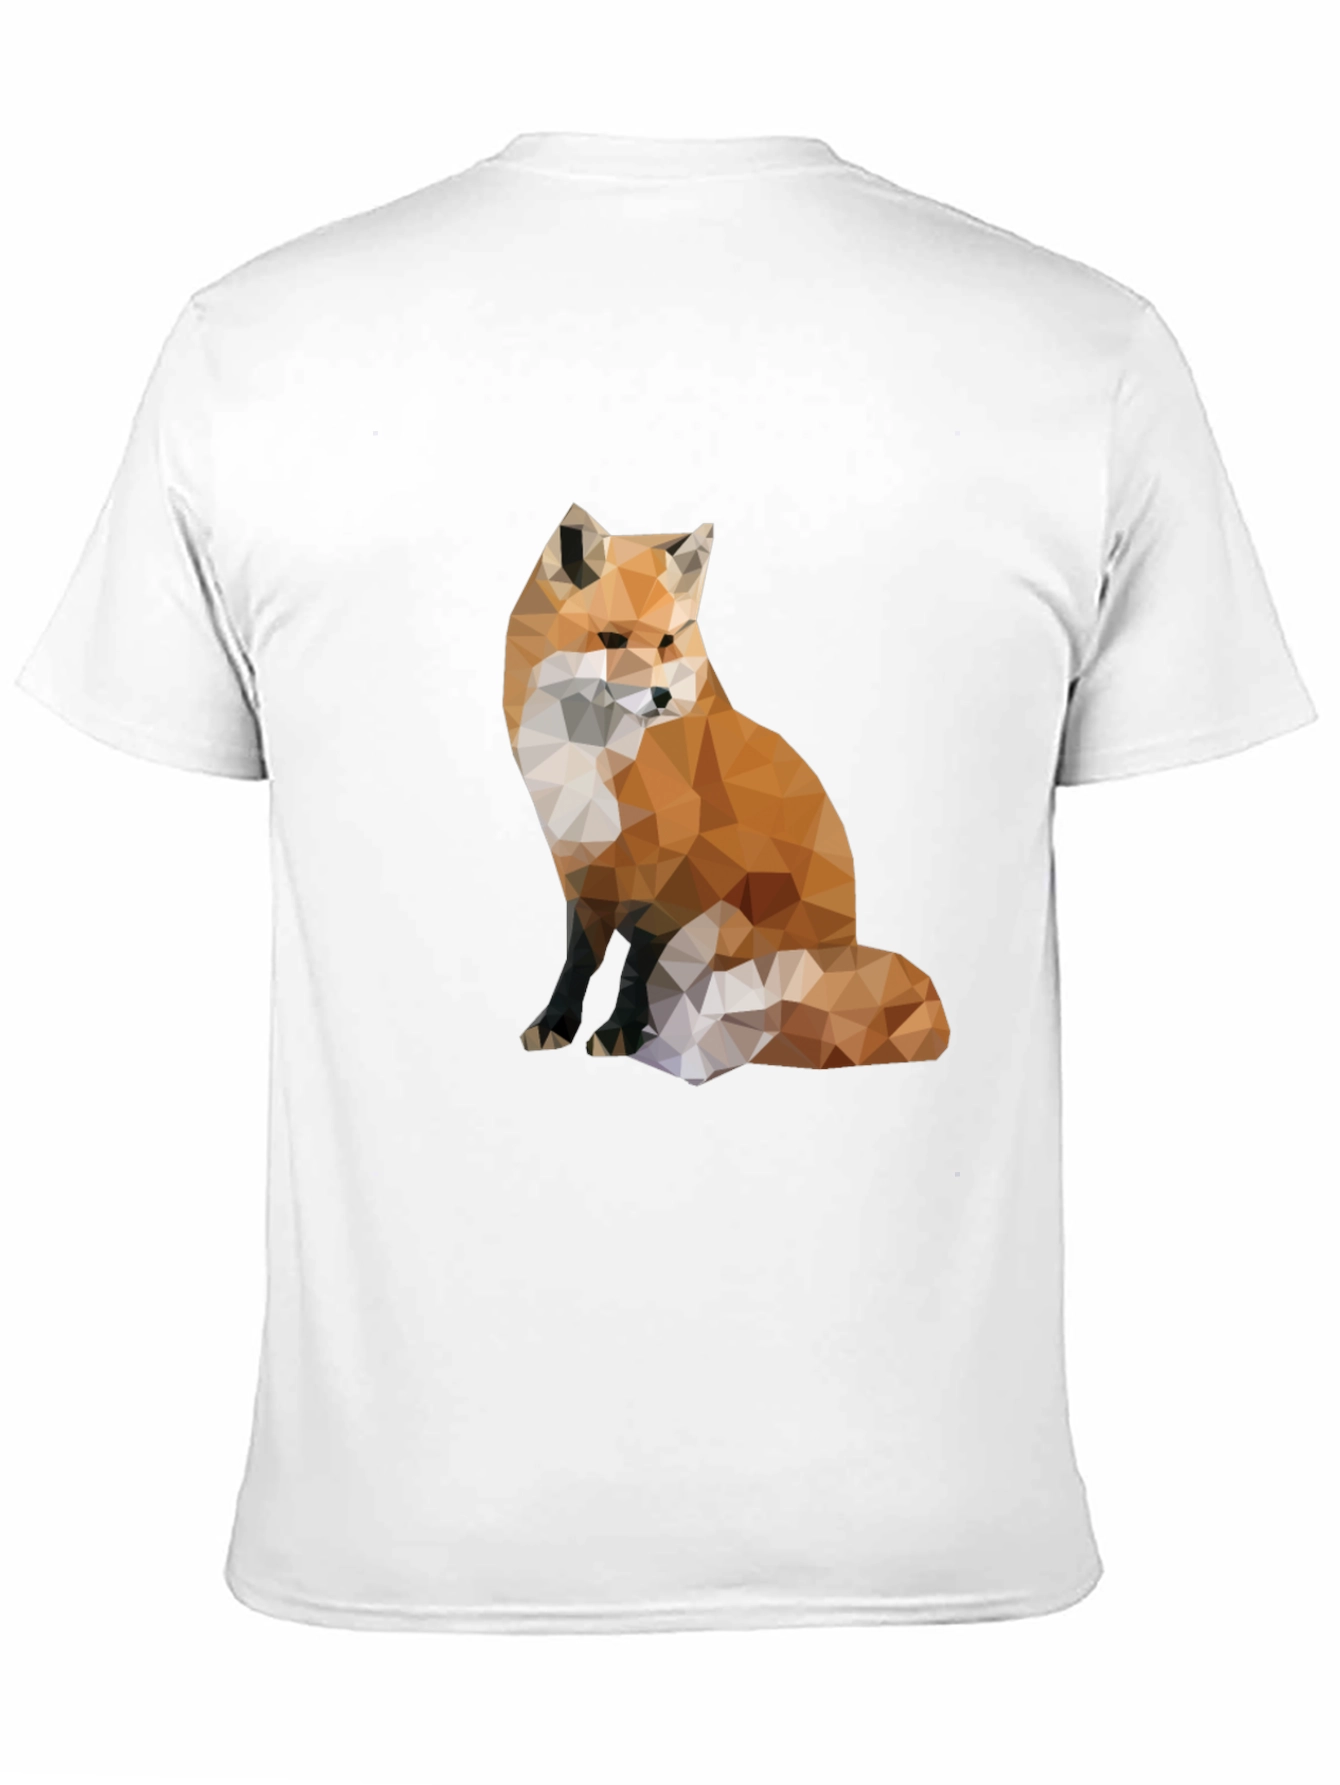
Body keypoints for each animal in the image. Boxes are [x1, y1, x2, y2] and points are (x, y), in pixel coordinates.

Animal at [503, 504, 950, 1087]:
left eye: (668, 641)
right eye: (612, 640)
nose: (662, 696)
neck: (599, 761)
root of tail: (846, 949)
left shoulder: (674, 879)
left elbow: (634, 966)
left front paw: (620, 1030)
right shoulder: (584, 870)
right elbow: (580, 961)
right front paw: (556, 1022)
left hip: (729, 930)